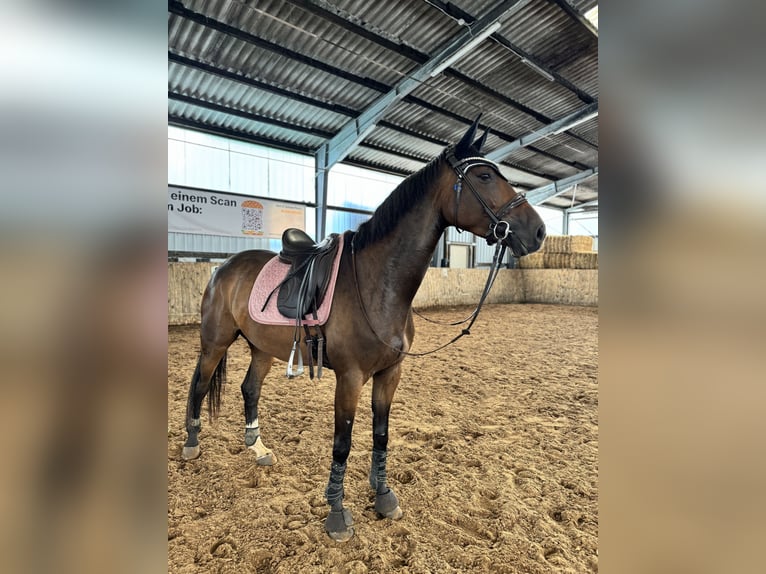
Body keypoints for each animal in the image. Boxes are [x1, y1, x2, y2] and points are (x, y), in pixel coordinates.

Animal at [183, 118, 548, 544]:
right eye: (486, 176)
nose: (538, 232)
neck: (378, 283)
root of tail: (223, 267)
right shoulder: (350, 377)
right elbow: (342, 445)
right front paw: (337, 514)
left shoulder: (389, 373)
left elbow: (381, 434)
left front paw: (384, 495)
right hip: (215, 342)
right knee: (200, 385)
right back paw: (191, 444)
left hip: (262, 348)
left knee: (249, 389)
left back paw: (258, 449)